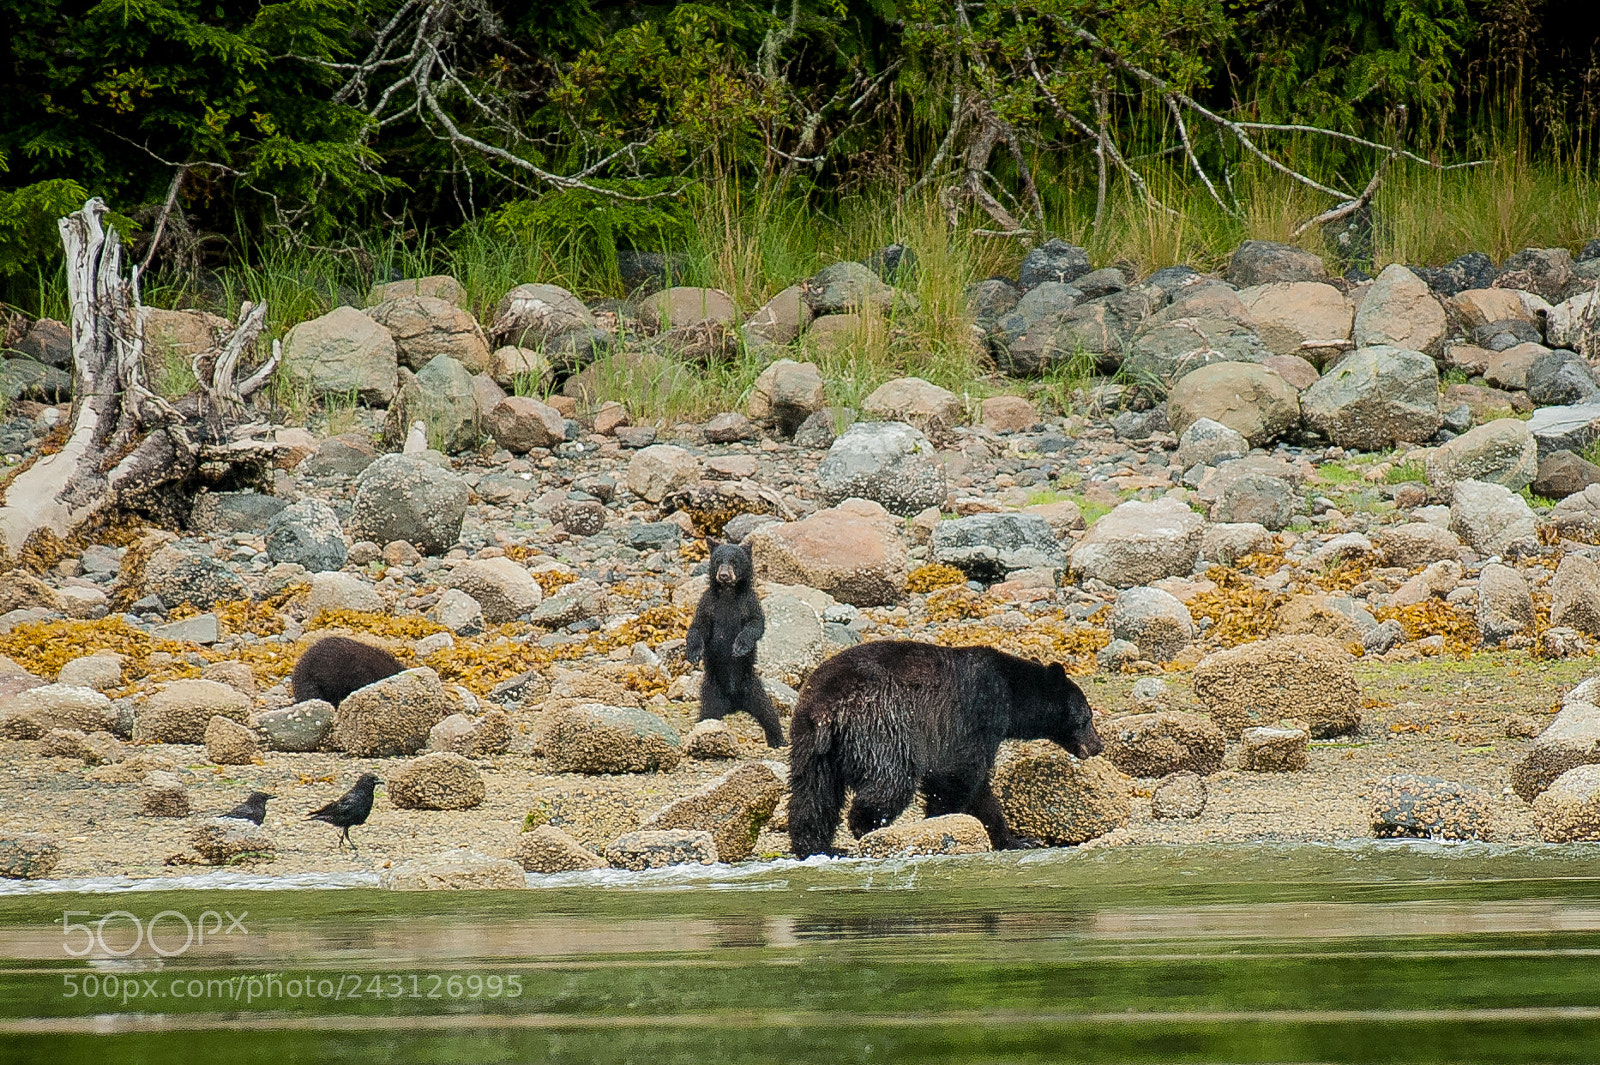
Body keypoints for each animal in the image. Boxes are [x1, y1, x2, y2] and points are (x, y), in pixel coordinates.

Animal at [684, 540, 786, 747]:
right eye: (718, 560)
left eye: (734, 561)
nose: (723, 575)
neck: (728, 593)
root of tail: (734, 704)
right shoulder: (708, 604)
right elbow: (698, 627)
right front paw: (694, 653)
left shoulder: (749, 603)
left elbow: (755, 625)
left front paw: (740, 646)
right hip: (712, 693)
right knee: (707, 715)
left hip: (753, 689)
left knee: (768, 713)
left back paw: (778, 740)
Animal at [786, 640, 1103, 857]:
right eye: (1087, 717)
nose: (1097, 745)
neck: (1013, 695)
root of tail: (826, 708)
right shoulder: (977, 712)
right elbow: (959, 773)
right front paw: (939, 822)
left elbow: (980, 793)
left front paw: (1017, 840)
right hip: (880, 726)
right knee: (891, 781)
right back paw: (869, 828)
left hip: (811, 744)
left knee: (813, 793)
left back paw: (817, 846)